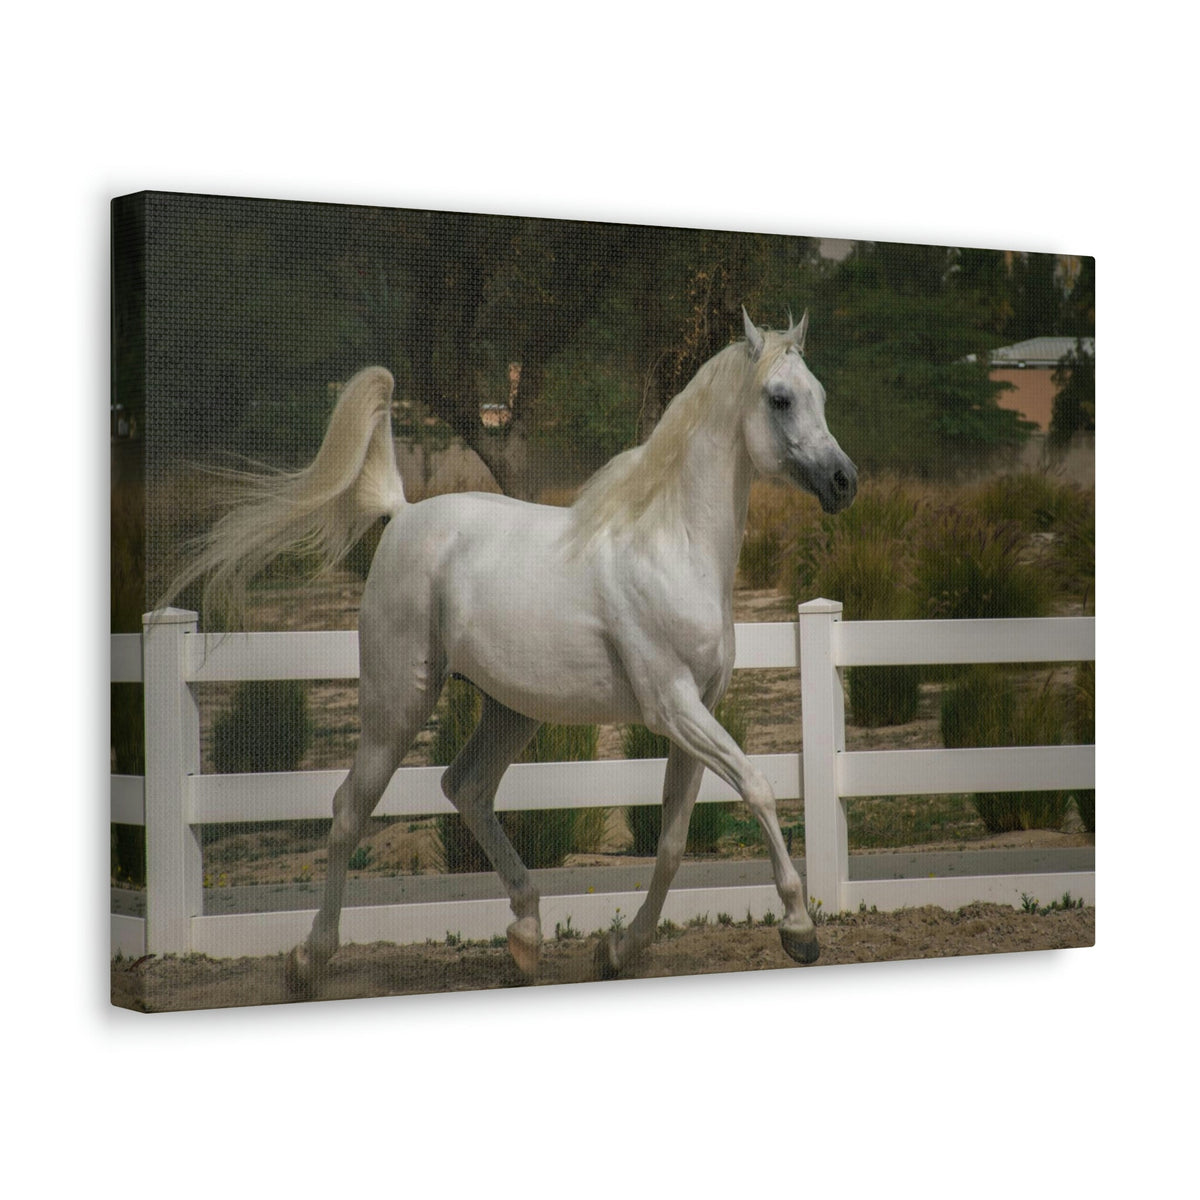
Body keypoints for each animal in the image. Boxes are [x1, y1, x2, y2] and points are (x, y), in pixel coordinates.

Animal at [174, 309, 857, 994]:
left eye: (823, 394)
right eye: (780, 398)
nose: (844, 482)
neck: (672, 546)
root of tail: (403, 513)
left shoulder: (699, 709)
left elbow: (671, 843)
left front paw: (617, 951)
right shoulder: (673, 707)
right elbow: (759, 788)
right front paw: (799, 929)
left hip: (510, 709)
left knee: (466, 788)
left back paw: (526, 935)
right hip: (398, 703)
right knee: (349, 810)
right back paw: (309, 960)